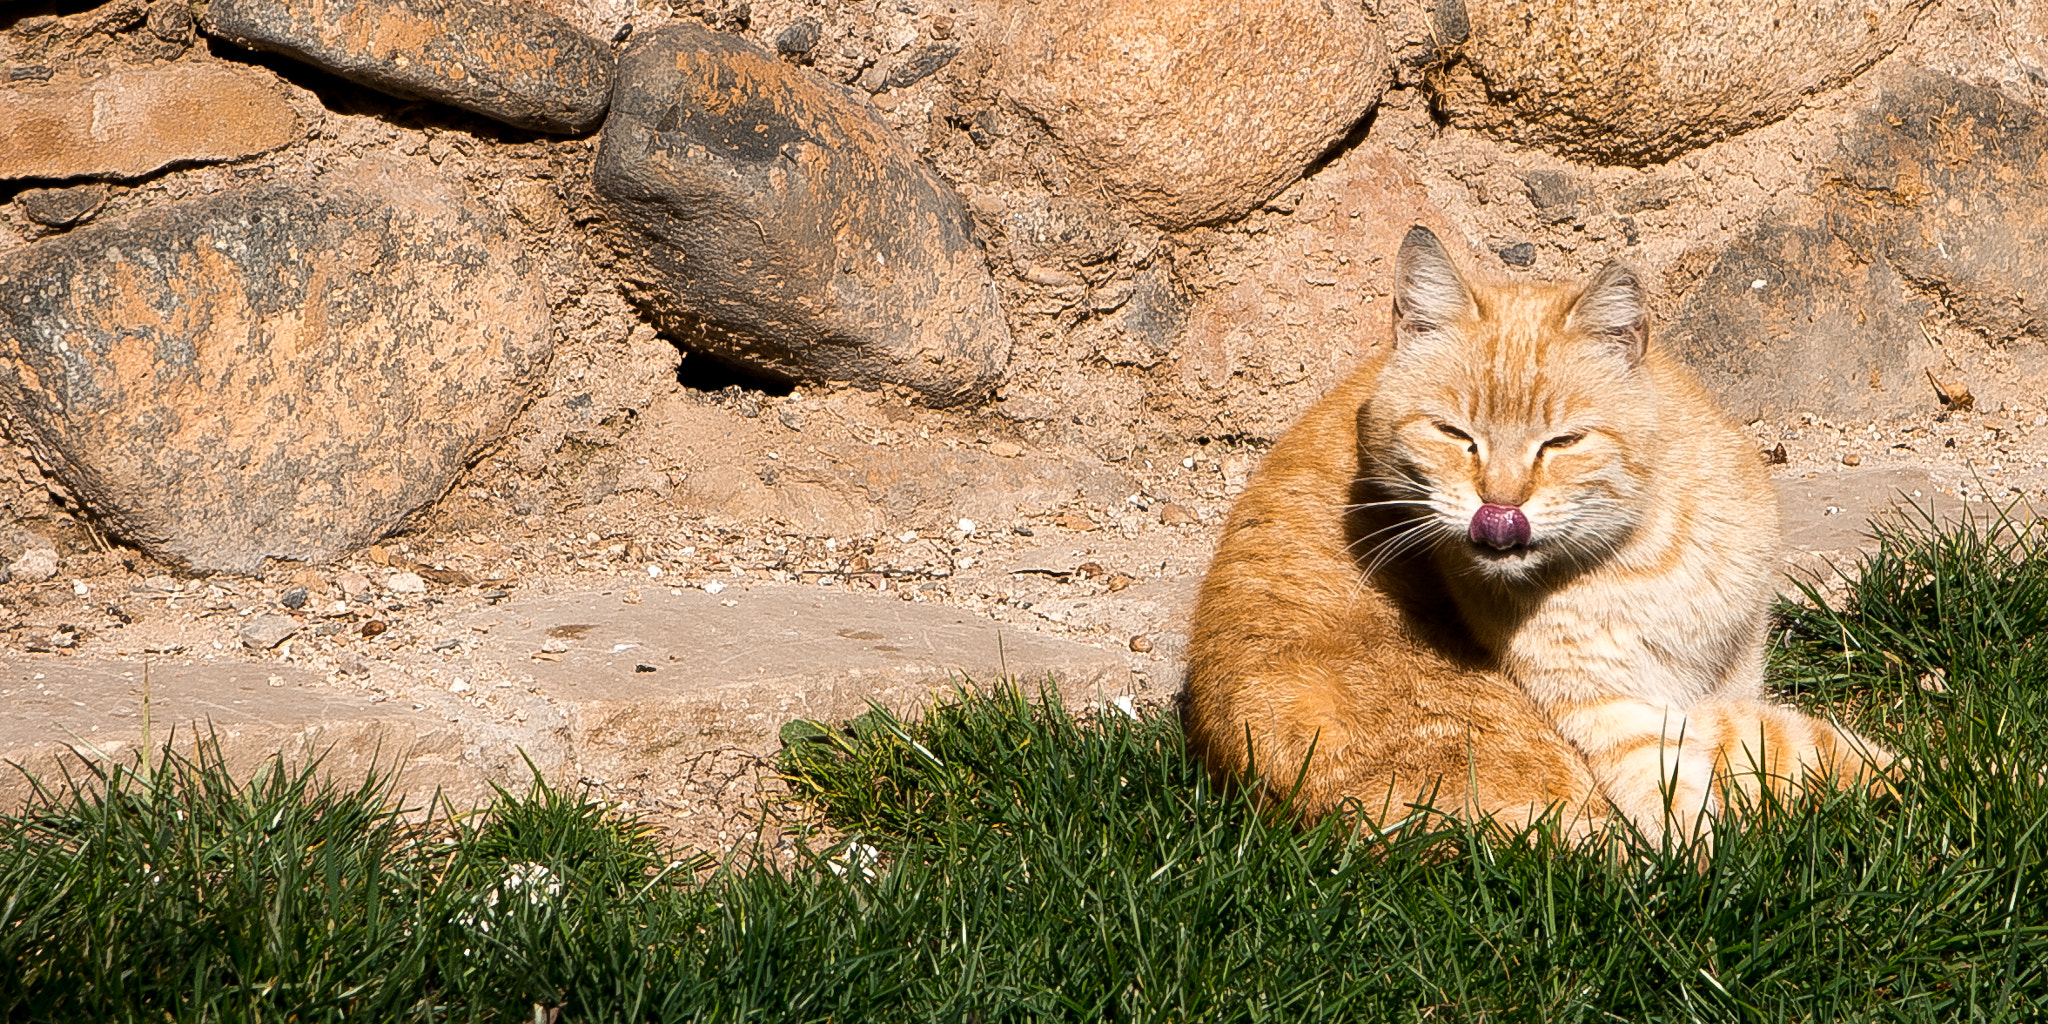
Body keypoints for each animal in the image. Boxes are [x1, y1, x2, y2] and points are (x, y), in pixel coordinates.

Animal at [1179, 226, 1892, 847]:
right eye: (1454, 435)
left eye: (1561, 442)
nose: (1499, 506)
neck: (1637, 564)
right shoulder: (1608, 710)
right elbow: (1700, 788)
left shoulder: (1732, 668)